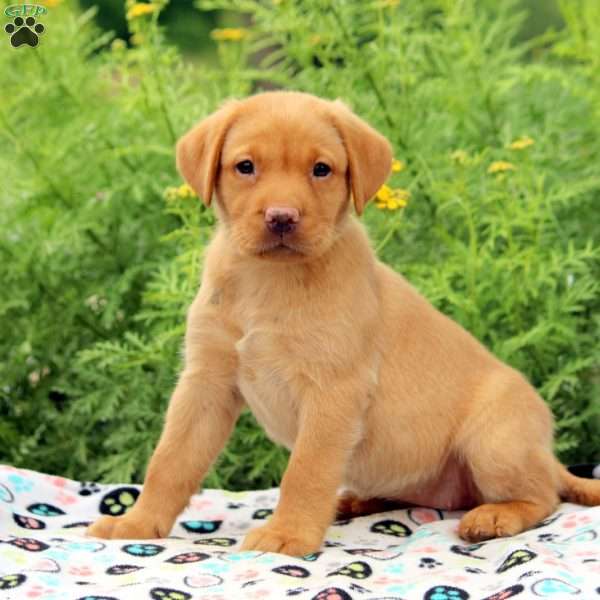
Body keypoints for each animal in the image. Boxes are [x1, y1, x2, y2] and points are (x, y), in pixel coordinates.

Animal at [88, 91, 600, 556]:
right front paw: (137, 523)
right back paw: (357, 501)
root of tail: (546, 453)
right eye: (245, 166)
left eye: (321, 170)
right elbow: (170, 461)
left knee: (544, 496)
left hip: (495, 440)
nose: (281, 218)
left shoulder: (333, 391)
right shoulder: (205, 382)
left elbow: (305, 471)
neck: (268, 281)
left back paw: (495, 516)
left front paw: (287, 535)